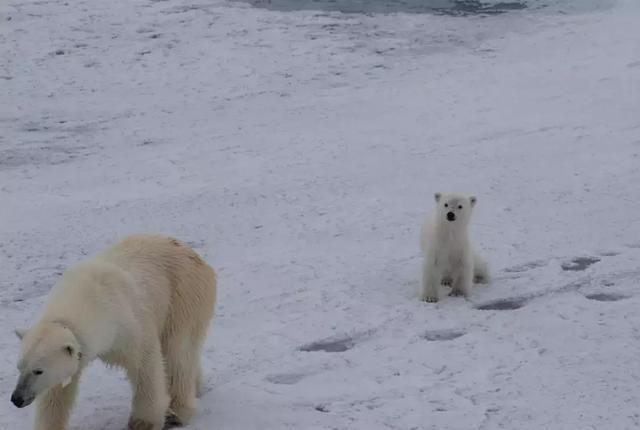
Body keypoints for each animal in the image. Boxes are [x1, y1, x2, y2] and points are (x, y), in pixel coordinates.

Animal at [11, 235, 216, 430]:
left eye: (38, 370)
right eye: (19, 367)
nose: (17, 399)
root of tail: (193, 254)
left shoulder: (129, 324)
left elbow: (145, 366)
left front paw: (143, 423)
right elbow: (58, 391)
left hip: (183, 294)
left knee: (178, 351)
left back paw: (178, 412)